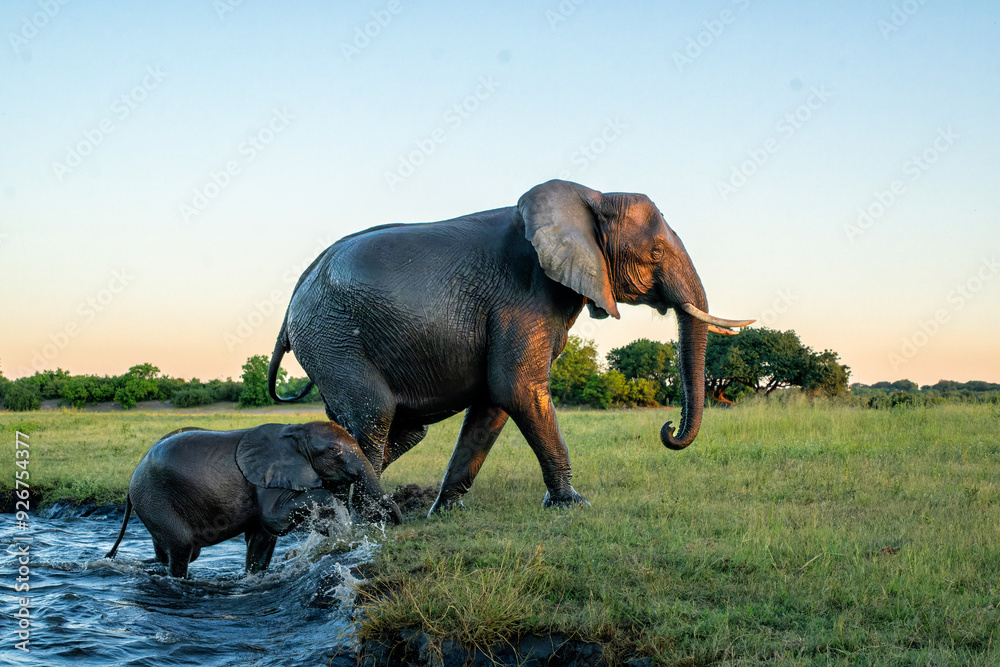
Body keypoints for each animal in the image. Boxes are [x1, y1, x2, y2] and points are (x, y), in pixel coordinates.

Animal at [108, 426, 402, 576]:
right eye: (333, 450)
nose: (397, 522)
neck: (296, 432)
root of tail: (132, 482)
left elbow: (263, 537)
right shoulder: (266, 477)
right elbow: (272, 519)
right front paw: (329, 519)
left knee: (170, 551)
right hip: (155, 500)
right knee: (182, 550)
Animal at [268, 179, 752, 516]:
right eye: (655, 254)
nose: (667, 428)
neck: (592, 196)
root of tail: (293, 299)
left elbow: (493, 404)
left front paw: (447, 511)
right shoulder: (523, 296)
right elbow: (517, 389)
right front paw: (573, 505)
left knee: (400, 429)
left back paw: (324, 512)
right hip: (332, 335)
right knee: (374, 416)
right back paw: (363, 520)